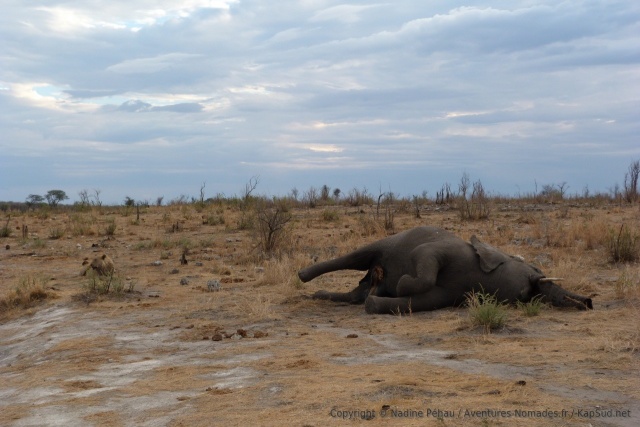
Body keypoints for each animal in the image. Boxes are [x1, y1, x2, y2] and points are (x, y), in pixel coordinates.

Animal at [298, 226, 593, 314]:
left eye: (526, 296)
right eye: (534, 268)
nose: (589, 302)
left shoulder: (453, 295)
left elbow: (413, 302)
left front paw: (379, 298)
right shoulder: (446, 250)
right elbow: (422, 256)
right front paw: (401, 282)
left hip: (365, 277)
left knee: (356, 294)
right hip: (382, 245)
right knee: (352, 257)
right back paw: (302, 276)